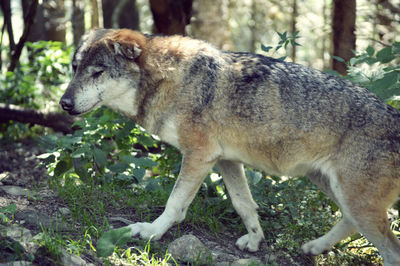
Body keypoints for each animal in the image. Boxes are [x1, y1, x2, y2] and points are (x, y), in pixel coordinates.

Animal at [59, 28, 400, 264]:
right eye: (75, 68)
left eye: (98, 71)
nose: (64, 104)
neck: (170, 80)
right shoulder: (225, 160)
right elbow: (244, 205)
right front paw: (255, 240)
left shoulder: (199, 156)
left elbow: (174, 204)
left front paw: (152, 231)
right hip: (334, 190)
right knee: (349, 224)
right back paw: (314, 247)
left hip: (355, 201)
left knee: (390, 249)